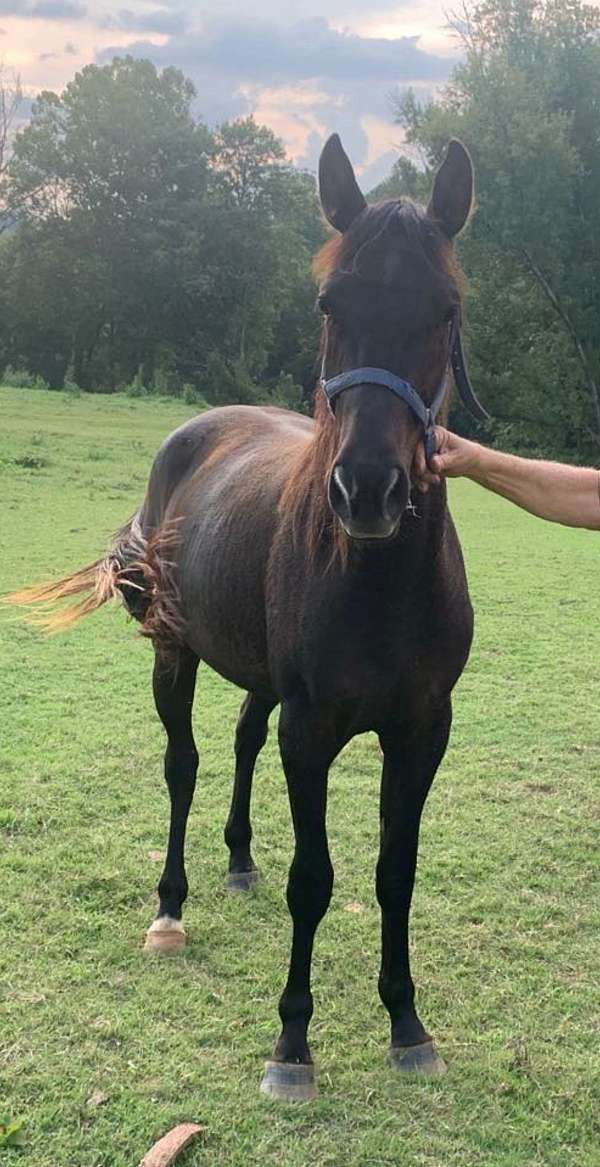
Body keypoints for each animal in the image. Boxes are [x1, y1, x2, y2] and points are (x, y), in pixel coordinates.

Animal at [7, 136, 476, 1101]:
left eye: (444, 309)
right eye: (331, 304)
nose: (367, 490)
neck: (377, 582)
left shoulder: (422, 730)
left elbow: (396, 871)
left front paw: (406, 1021)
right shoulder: (313, 729)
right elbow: (315, 878)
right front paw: (292, 1041)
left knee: (240, 742)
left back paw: (236, 857)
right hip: (174, 655)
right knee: (183, 764)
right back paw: (171, 906)